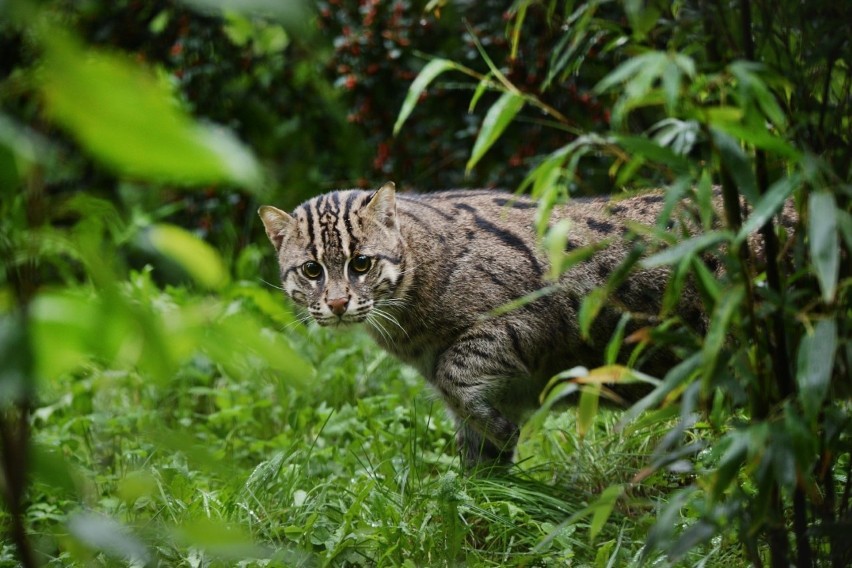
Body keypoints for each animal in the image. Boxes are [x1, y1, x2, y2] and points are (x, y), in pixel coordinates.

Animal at [260, 184, 704, 468]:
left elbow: (455, 372)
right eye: (312, 270)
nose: (337, 303)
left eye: (362, 264)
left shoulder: (529, 318)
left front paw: (502, 434)